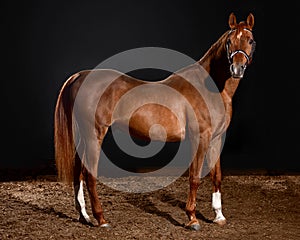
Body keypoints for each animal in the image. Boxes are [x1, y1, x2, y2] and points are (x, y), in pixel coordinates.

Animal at [54, 13, 255, 231]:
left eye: (250, 40)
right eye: (229, 41)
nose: (237, 68)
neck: (210, 87)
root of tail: (80, 76)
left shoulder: (216, 138)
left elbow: (216, 176)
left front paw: (219, 216)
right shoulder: (200, 138)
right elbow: (194, 178)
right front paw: (192, 218)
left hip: (83, 136)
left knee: (78, 172)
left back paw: (84, 216)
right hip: (94, 135)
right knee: (89, 174)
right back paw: (101, 219)